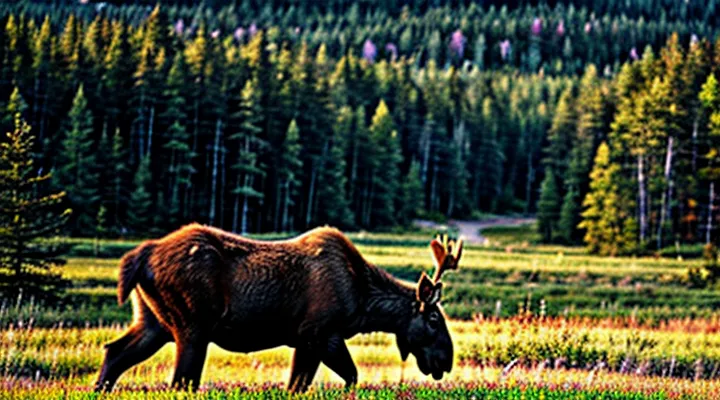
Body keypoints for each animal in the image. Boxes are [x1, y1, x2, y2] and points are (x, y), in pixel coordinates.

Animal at [95, 223, 463, 393]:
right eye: (434, 318)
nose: (446, 360)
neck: (363, 303)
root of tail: (140, 255)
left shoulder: (307, 339)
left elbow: (300, 384)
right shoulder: (319, 333)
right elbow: (349, 376)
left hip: (153, 321)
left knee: (115, 352)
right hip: (192, 327)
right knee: (181, 381)